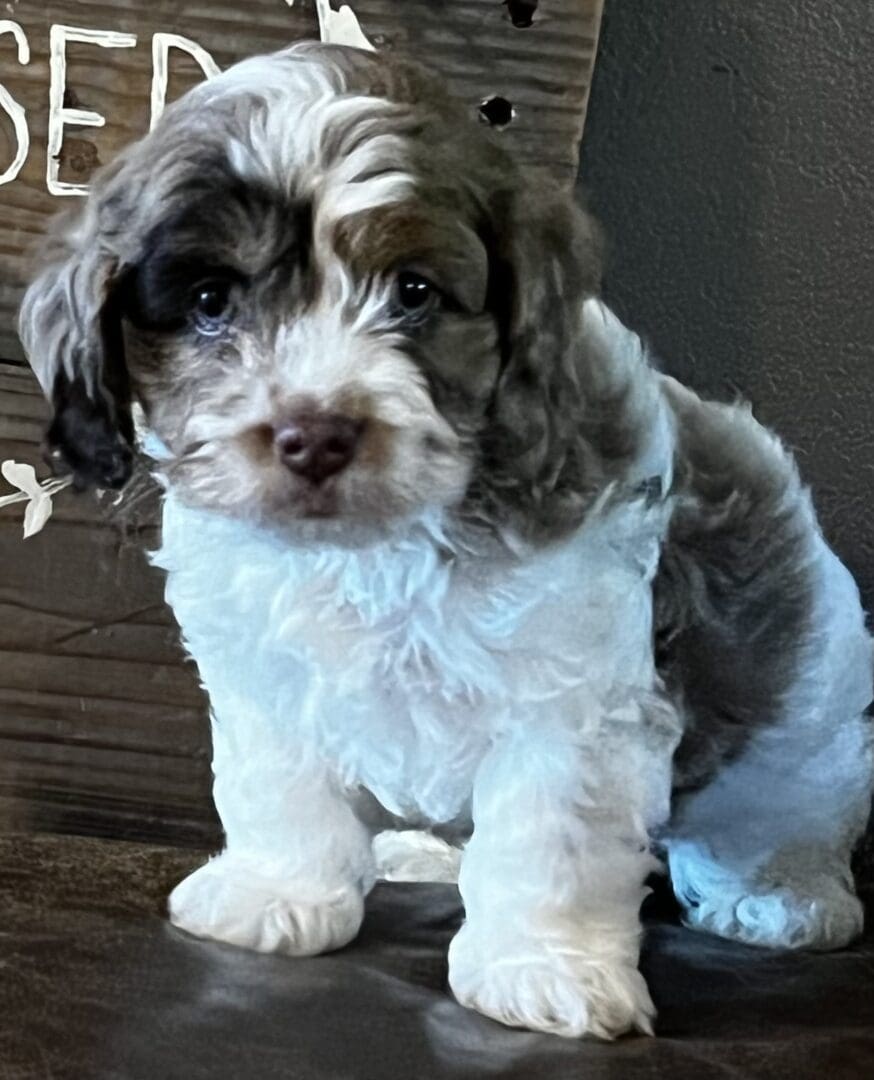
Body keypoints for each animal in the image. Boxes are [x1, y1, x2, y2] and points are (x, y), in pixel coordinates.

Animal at [18, 42, 872, 1036]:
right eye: (208, 300)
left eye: (414, 293)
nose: (315, 433)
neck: (372, 545)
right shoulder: (265, 678)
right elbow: (280, 787)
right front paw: (278, 892)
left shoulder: (576, 701)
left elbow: (550, 833)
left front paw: (541, 968)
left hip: (809, 714)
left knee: (789, 809)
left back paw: (784, 896)